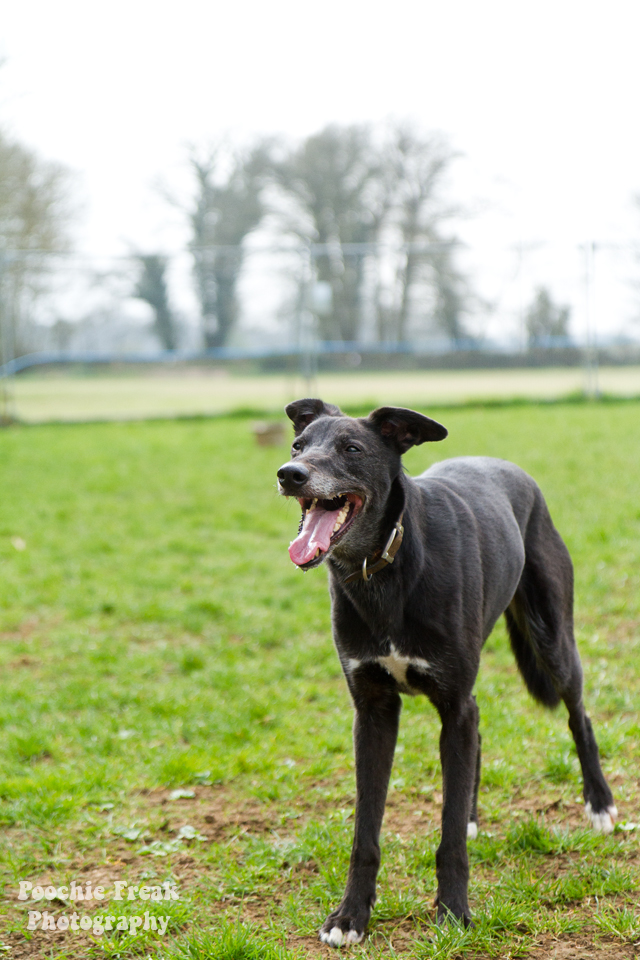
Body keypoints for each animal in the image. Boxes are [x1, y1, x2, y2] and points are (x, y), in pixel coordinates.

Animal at [276, 398, 616, 944]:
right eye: (297, 446)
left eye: (352, 448)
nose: (290, 475)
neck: (384, 565)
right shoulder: (373, 712)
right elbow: (365, 832)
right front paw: (350, 916)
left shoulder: (453, 704)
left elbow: (448, 834)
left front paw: (454, 912)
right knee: (481, 736)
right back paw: (477, 816)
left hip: (553, 641)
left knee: (578, 715)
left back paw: (600, 803)